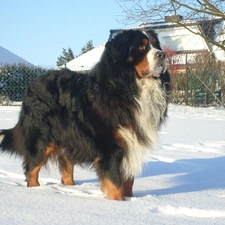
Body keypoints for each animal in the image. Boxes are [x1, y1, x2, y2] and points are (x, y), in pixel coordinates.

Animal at [0, 28, 170, 200]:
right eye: (141, 47)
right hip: (42, 138)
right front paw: (117, 202)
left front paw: (130, 200)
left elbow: (128, 181)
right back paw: (35, 191)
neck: (129, 87)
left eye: (156, 45)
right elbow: (115, 183)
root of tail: (33, 83)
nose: (162, 55)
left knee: (66, 167)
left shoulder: (132, 141)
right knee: (32, 169)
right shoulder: (111, 146)